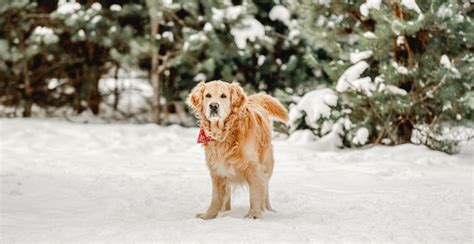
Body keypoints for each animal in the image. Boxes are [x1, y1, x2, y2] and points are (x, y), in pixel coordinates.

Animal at [187, 80, 286, 219]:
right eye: (208, 95)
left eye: (223, 96)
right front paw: (208, 216)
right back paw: (225, 211)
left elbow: (255, 193)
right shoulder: (217, 169)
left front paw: (253, 215)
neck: (226, 133)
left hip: (267, 165)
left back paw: (268, 210)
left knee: (265, 190)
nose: (213, 106)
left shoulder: (254, 167)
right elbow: (216, 197)